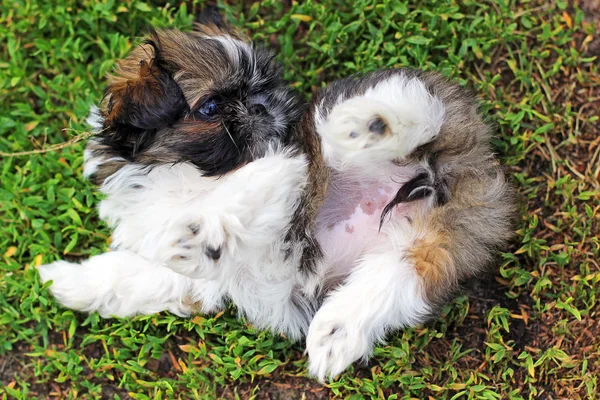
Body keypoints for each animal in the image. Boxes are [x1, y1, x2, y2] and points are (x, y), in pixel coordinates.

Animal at [38, 10, 516, 382]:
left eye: (265, 88)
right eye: (211, 107)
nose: (265, 105)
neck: (182, 176)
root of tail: (469, 159)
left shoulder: (285, 165)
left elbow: (239, 194)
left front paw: (200, 231)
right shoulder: (192, 276)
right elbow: (132, 274)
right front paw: (68, 281)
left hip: (373, 145)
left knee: (418, 111)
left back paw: (368, 122)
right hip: (432, 238)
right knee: (403, 273)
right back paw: (336, 332)